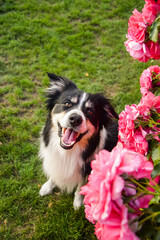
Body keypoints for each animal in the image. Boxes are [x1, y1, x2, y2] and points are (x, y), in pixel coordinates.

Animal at [39, 74, 118, 209]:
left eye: (90, 111)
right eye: (67, 103)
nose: (75, 119)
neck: (66, 152)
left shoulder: (87, 168)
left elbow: (81, 185)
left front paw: (78, 202)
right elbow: (54, 173)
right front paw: (47, 187)